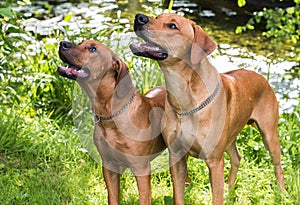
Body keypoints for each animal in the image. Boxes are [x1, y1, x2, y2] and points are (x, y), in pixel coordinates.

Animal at [57, 39, 168, 204]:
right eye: (81, 42)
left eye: (92, 49)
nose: (62, 43)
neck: (110, 115)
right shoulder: (109, 166)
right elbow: (113, 197)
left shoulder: (141, 168)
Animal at [131, 13, 286, 204]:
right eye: (158, 16)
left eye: (173, 26)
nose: (139, 18)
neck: (184, 99)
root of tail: (262, 78)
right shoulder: (177, 156)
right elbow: (178, 195)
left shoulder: (214, 161)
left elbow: (216, 197)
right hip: (230, 136)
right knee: (236, 157)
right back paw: (230, 189)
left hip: (269, 134)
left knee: (277, 164)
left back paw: (282, 192)